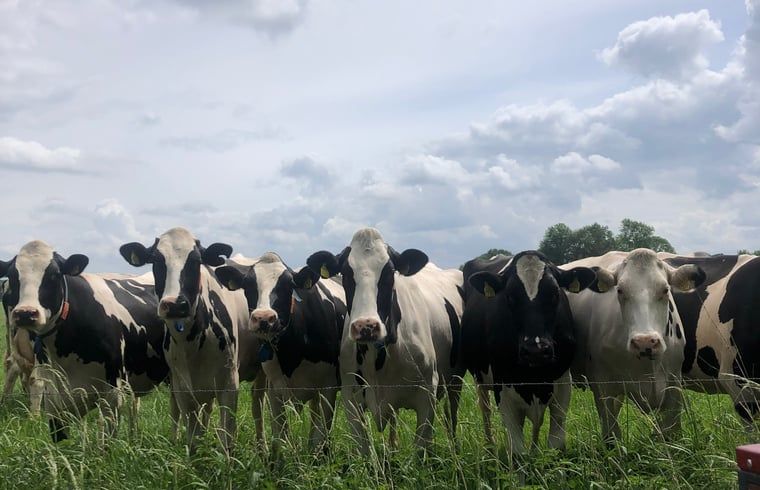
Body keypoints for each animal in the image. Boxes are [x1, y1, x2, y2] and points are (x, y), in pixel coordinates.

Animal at [214, 252, 346, 453]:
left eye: (288, 285)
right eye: (248, 285)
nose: (263, 318)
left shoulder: (328, 387)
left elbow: (320, 437)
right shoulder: (275, 390)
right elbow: (280, 440)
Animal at [305, 227, 464, 454]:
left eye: (389, 273)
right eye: (346, 273)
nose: (366, 326)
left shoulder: (427, 394)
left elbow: (420, 451)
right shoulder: (351, 398)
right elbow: (364, 452)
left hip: (456, 379)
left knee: (452, 413)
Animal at [461, 251, 597, 455]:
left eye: (555, 294)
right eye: (509, 297)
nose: (536, 350)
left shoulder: (563, 385)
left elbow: (556, 444)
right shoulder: (504, 390)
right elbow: (517, 450)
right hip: (480, 377)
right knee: (485, 408)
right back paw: (490, 447)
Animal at [565, 249, 705, 443]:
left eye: (665, 290)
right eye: (620, 290)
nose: (644, 341)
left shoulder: (674, 384)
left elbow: (671, 434)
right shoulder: (602, 386)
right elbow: (612, 437)